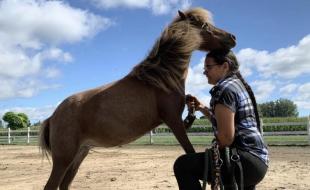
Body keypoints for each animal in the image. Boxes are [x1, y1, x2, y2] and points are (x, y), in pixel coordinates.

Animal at [40, 7, 235, 189]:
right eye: (204, 25)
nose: (232, 37)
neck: (160, 79)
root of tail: (53, 116)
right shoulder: (174, 120)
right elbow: (189, 150)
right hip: (64, 158)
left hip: (80, 154)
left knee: (65, 184)